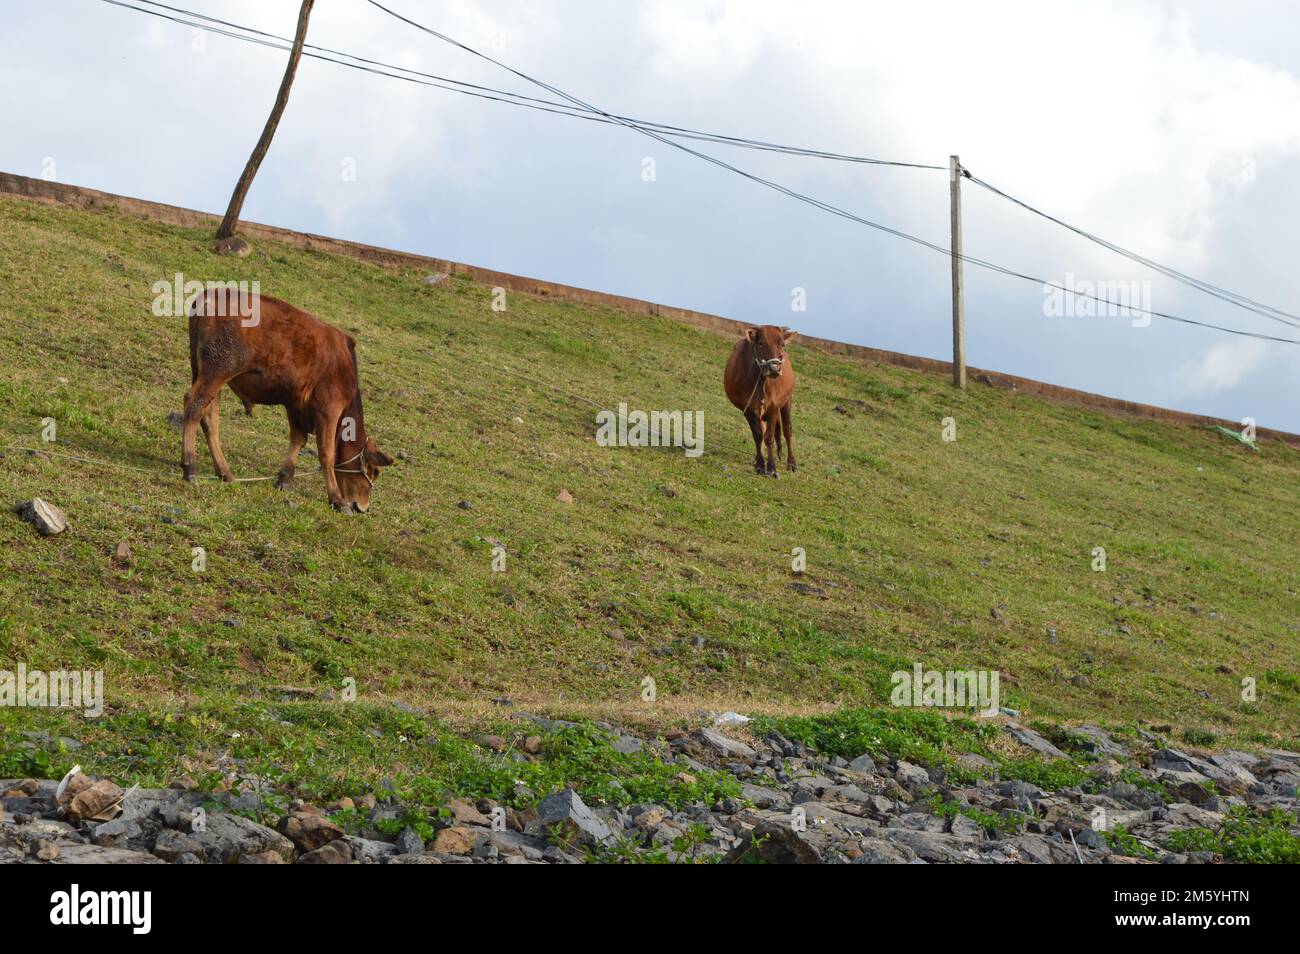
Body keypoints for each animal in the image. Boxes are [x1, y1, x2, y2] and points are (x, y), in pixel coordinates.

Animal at [182, 287, 392, 513]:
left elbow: (298, 439)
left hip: (207, 373)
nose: (363, 507)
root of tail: (214, 292)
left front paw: (285, 479)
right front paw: (336, 499)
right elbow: (327, 453)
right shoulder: (329, 408)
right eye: (373, 471)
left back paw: (225, 472)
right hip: (217, 370)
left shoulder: (295, 403)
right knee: (193, 406)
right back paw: (190, 468)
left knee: (210, 419)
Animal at [724, 324, 797, 477]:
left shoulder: (774, 407)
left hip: (787, 401)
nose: (774, 368)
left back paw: (791, 463)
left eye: (782, 345)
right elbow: (758, 435)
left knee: (788, 430)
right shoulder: (748, 408)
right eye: (761, 343)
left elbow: (769, 438)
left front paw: (772, 468)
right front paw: (760, 465)